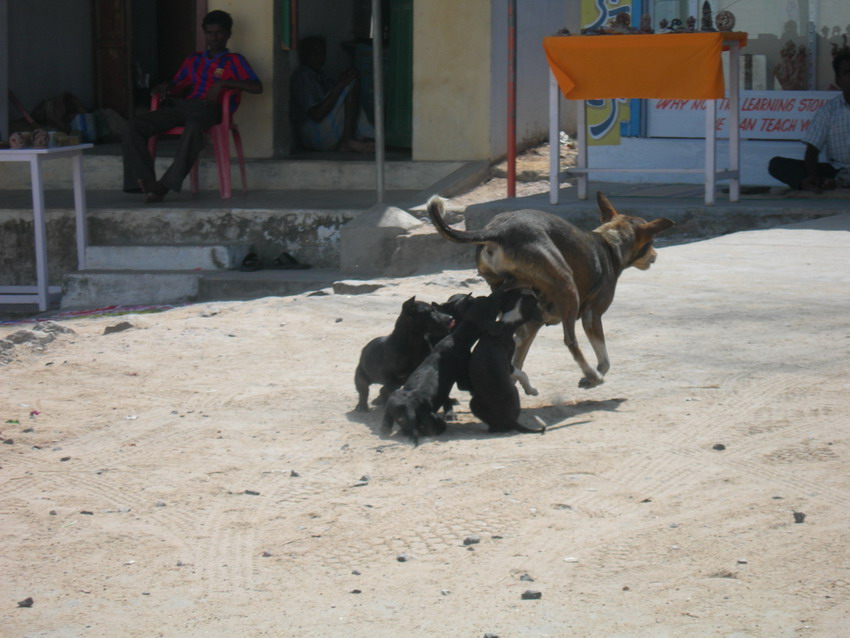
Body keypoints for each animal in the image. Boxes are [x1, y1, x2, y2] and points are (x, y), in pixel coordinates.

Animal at [382, 290, 512, 444]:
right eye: (491, 305)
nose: (499, 294)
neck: (457, 337)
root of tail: (408, 409)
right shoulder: (463, 381)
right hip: (435, 422)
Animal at [428, 191, 672, 390]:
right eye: (652, 243)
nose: (656, 255)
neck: (610, 243)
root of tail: (497, 230)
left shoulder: (531, 324)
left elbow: (518, 357)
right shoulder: (592, 316)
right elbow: (604, 358)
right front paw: (595, 375)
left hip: (503, 291)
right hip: (568, 288)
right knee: (570, 341)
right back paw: (591, 375)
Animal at [468, 288, 548, 436]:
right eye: (534, 300)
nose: (533, 290)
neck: (507, 324)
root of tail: (511, 420)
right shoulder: (509, 365)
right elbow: (522, 373)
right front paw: (531, 390)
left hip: (474, 403)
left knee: (494, 428)